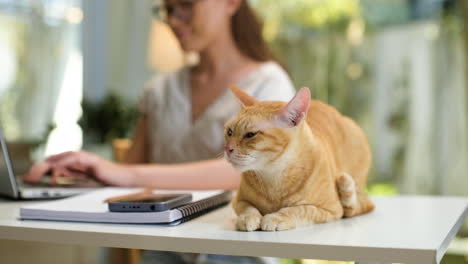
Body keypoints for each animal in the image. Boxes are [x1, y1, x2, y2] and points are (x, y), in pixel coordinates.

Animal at [225, 85, 374, 231]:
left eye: (251, 134)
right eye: (229, 132)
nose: (227, 149)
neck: (273, 176)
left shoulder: (331, 209)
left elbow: (301, 209)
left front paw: (277, 217)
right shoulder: (238, 200)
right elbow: (248, 208)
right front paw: (247, 218)